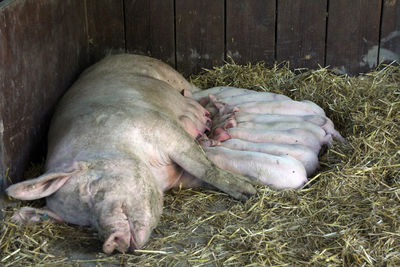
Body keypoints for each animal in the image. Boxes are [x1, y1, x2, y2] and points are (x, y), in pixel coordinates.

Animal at [6, 54, 255, 255]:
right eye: (84, 223)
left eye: (90, 189)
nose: (110, 242)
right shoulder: (177, 175)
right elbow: (199, 174)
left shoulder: (161, 128)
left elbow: (203, 166)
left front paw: (249, 191)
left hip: (173, 77)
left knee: (196, 94)